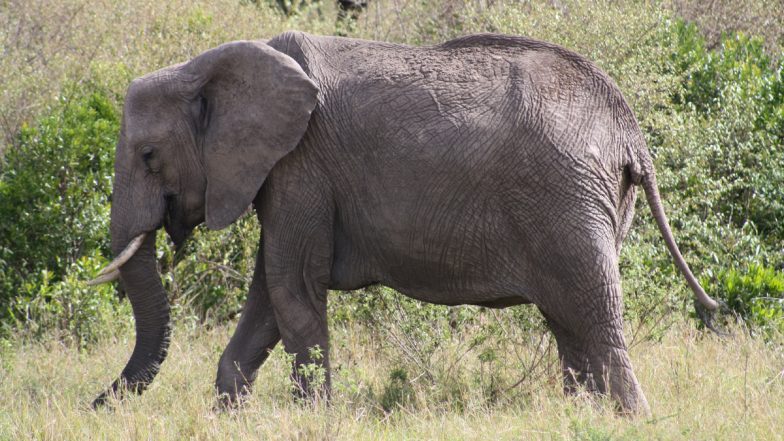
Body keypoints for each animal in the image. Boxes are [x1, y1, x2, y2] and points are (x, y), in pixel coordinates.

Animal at [89, 31, 720, 412]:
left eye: (148, 155)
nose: (96, 404)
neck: (207, 67)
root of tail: (629, 129)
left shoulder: (299, 166)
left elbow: (290, 288)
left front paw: (313, 418)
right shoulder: (286, 176)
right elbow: (268, 298)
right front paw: (230, 415)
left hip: (568, 200)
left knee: (594, 320)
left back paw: (631, 419)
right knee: (571, 326)